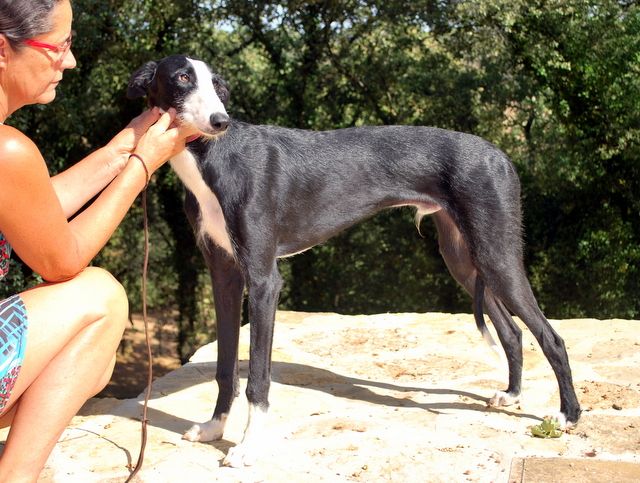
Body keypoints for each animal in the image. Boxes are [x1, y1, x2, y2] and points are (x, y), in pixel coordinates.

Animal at [129, 54, 580, 466]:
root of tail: (500, 155)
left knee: (551, 338)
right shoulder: (223, 274)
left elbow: (257, 375)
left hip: (496, 253)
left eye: (217, 85)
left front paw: (247, 447)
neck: (216, 158)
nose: (219, 120)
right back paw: (513, 395)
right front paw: (214, 427)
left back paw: (567, 416)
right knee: (513, 331)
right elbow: (225, 368)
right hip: (466, 260)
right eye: (183, 77)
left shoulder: (263, 280)